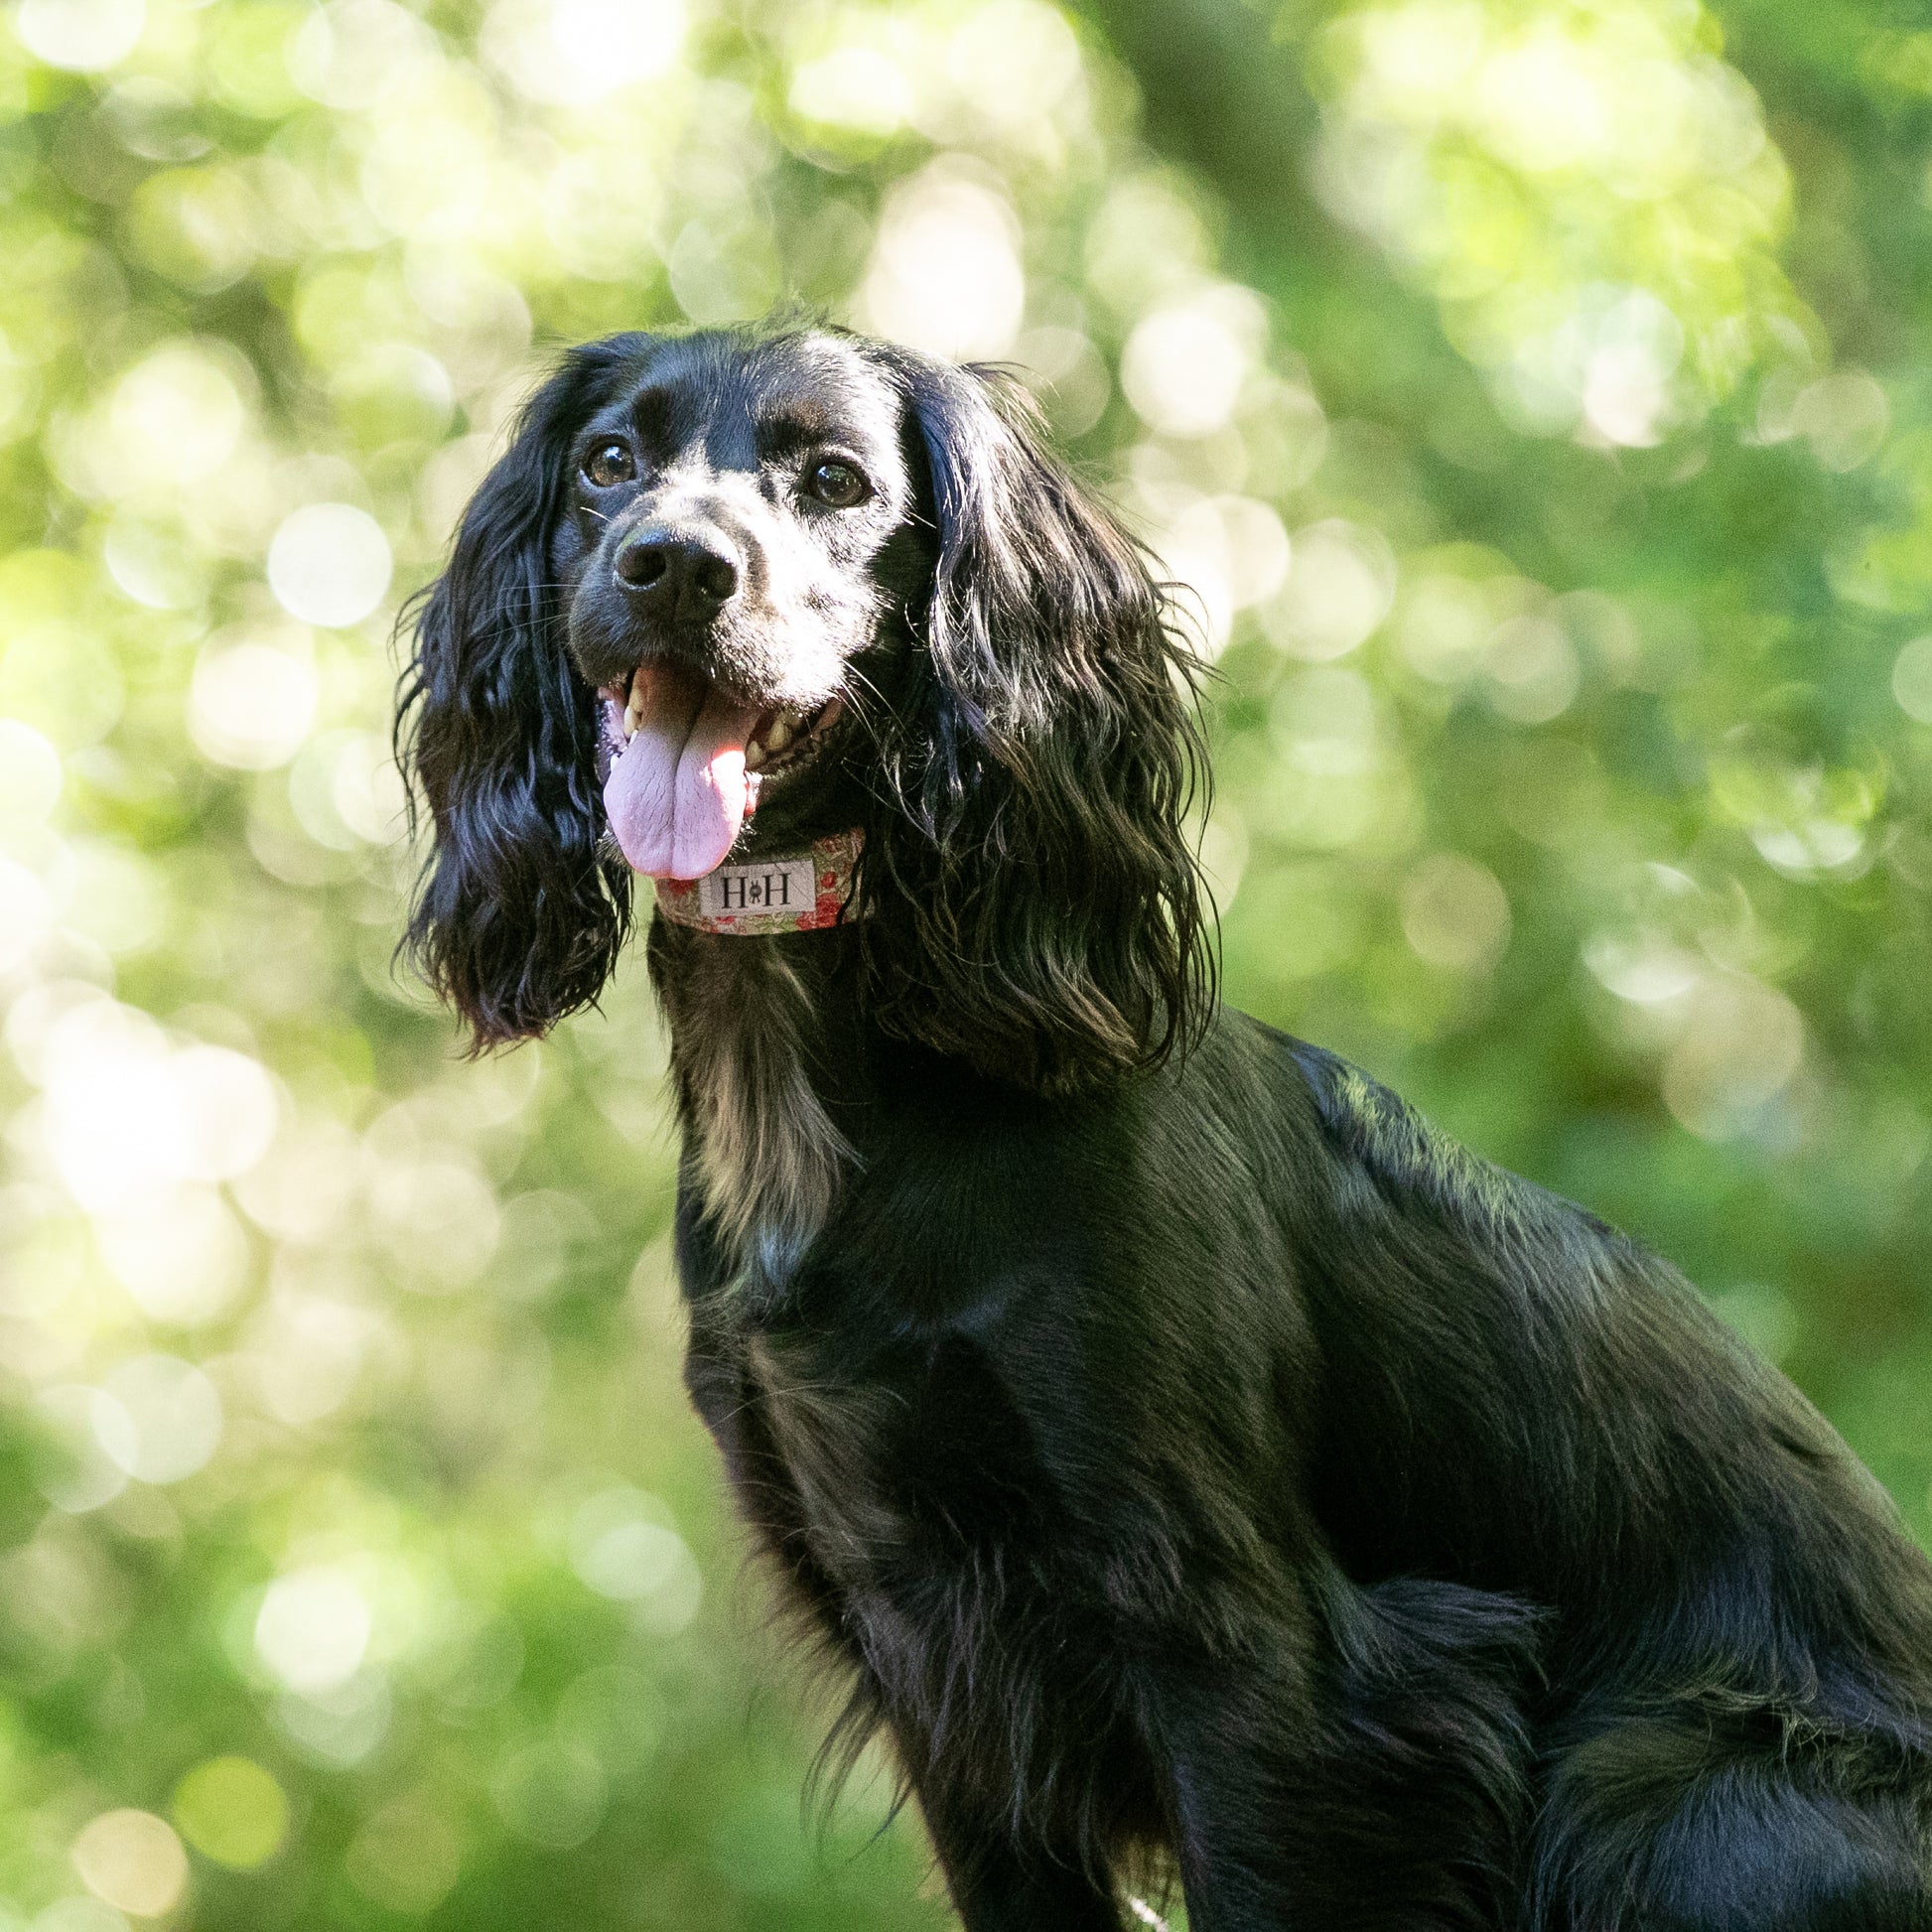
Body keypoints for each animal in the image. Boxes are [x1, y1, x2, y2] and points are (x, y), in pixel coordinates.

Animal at [399, 324, 1932, 1924]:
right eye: (606, 464)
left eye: (834, 479)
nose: (673, 566)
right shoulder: (926, 1656)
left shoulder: (1257, 1660)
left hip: (1669, 1789)